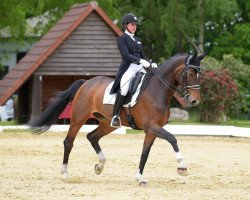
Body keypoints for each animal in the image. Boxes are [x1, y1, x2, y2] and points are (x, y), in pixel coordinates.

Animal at [29, 52, 205, 186]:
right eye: (190, 74)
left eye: (200, 75)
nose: (194, 101)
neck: (157, 90)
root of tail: (86, 82)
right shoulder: (151, 126)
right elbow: (172, 139)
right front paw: (182, 167)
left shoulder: (151, 131)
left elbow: (145, 154)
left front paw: (140, 178)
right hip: (79, 118)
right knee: (69, 142)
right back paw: (65, 173)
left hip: (107, 123)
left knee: (92, 137)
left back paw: (99, 165)